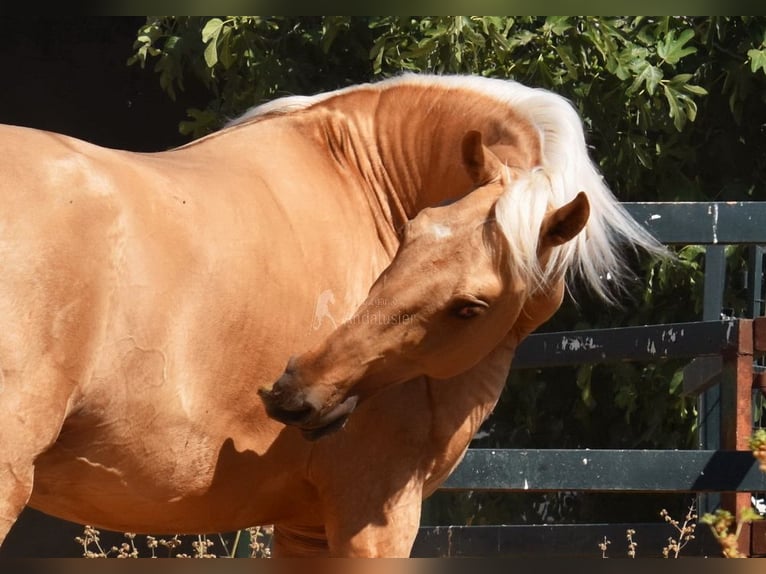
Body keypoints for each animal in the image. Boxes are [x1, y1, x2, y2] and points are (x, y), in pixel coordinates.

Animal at [0, 73, 660, 560]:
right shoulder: (375, 517)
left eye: (470, 306)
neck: (365, 179)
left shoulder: (305, 525)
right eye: (406, 237)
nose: (294, 391)